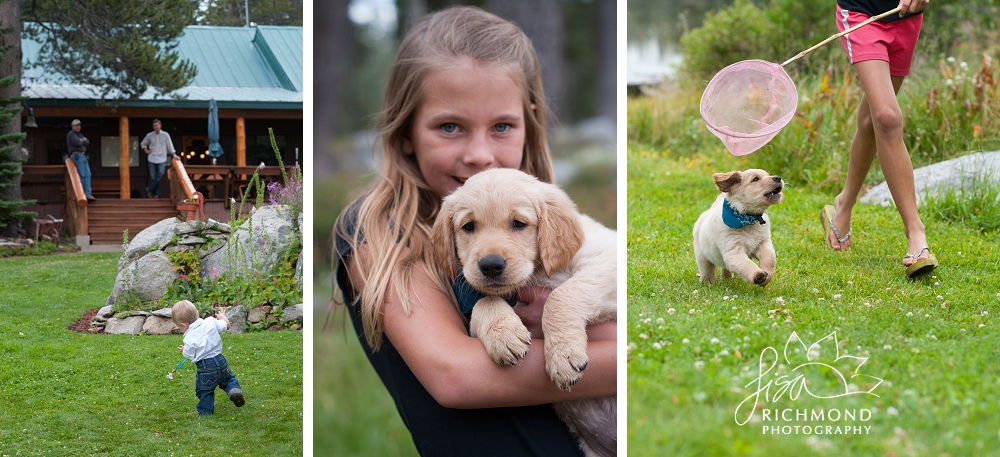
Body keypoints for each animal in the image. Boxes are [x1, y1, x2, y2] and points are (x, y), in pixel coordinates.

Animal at [432, 167, 616, 456]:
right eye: (469, 227)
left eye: (518, 224)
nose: (491, 265)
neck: (538, 273)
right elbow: (484, 303)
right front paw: (505, 336)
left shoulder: (606, 260)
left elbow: (560, 296)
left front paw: (562, 357)